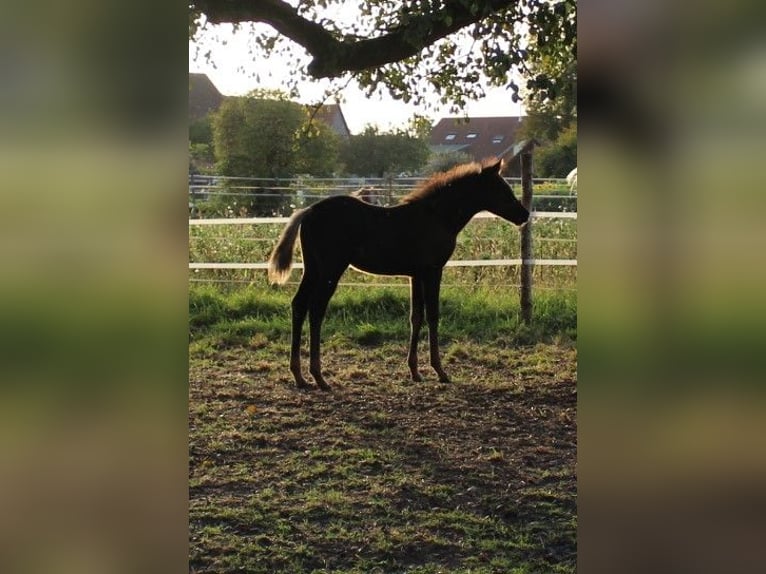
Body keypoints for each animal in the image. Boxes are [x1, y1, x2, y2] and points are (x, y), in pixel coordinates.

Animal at [268, 158, 528, 392]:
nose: (524, 215)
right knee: (316, 309)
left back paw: (299, 376)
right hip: (331, 269)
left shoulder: (416, 275)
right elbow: (433, 316)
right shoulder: (433, 271)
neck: (436, 216)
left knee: (299, 305)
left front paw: (415, 371)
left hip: (313, 269)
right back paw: (319, 377)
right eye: (501, 188)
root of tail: (309, 210)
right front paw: (440, 371)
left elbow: (416, 316)